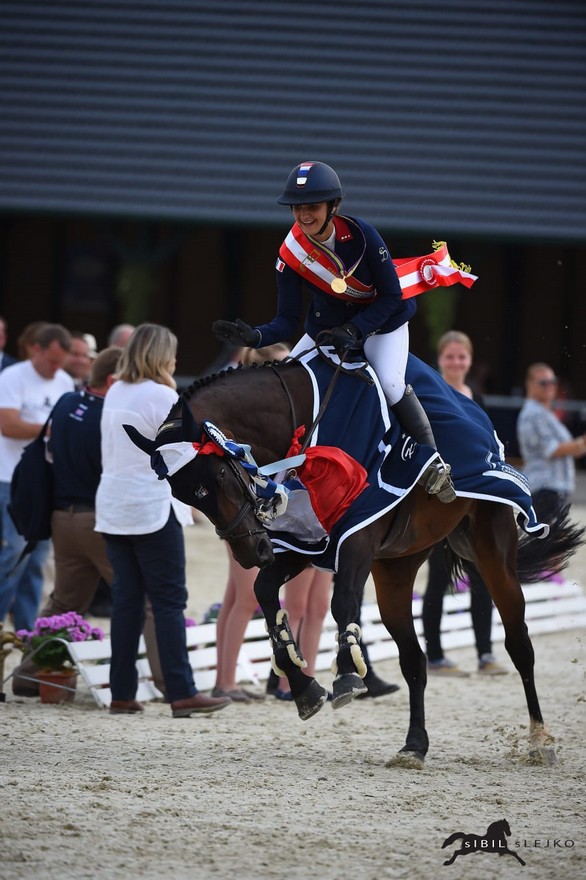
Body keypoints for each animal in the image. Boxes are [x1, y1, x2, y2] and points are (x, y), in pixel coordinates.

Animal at [126, 360, 580, 768]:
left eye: (219, 475)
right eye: (183, 495)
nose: (251, 553)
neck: (303, 425)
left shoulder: (357, 535)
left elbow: (342, 601)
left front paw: (345, 674)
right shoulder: (309, 544)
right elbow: (265, 591)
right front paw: (302, 685)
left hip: (491, 550)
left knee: (518, 644)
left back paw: (540, 741)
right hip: (396, 568)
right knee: (414, 659)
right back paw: (414, 746)